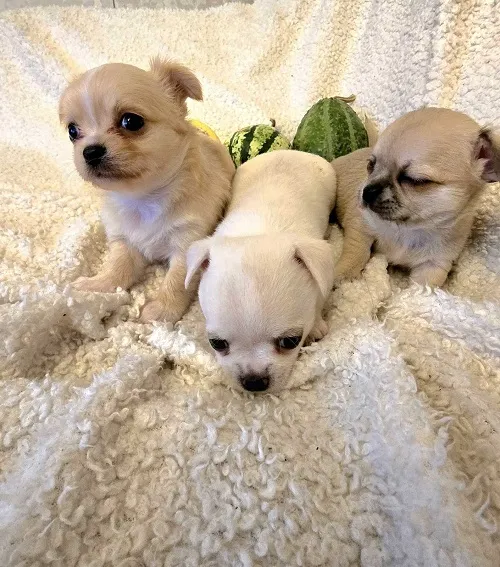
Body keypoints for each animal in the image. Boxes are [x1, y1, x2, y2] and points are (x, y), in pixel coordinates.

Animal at [59, 58, 235, 322]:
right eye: (72, 131)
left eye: (131, 121)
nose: (90, 151)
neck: (143, 197)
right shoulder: (123, 241)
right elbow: (118, 268)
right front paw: (97, 286)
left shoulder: (187, 243)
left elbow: (176, 281)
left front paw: (162, 311)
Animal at [185, 150, 336, 393]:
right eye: (216, 343)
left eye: (290, 341)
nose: (253, 381)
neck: (258, 231)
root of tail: (288, 151)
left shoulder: (324, 272)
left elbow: (319, 300)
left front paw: (315, 326)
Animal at [333, 107, 500, 286]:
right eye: (370, 165)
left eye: (414, 180)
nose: (367, 191)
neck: (410, 229)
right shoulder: (361, 225)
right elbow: (357, 252)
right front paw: (343, 276)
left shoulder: (433, 265)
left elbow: (422, 288)